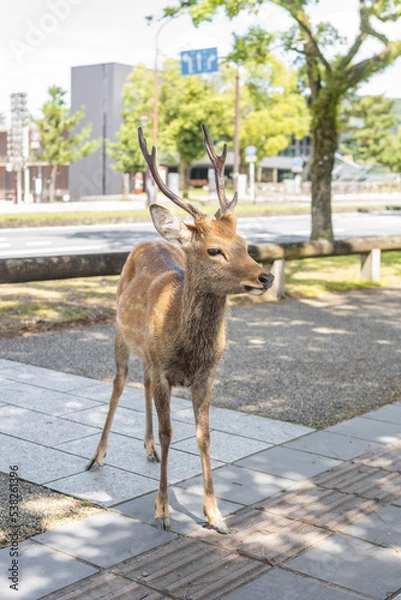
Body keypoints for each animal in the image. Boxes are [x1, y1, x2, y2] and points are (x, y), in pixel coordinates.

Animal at [86, 124, 274, 532]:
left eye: (244, 243)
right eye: (214, 250)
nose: (265, 276)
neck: (187, 349)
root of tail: (147, 240)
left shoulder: (207, 375)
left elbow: (204, 436)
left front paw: (216, 514)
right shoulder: (164, 371)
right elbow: (170, 432)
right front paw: (162, 511)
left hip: (146, 355)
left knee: (139, 382)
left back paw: (148, 449)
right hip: (119, 334)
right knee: (119, 383)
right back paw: (97, 456)